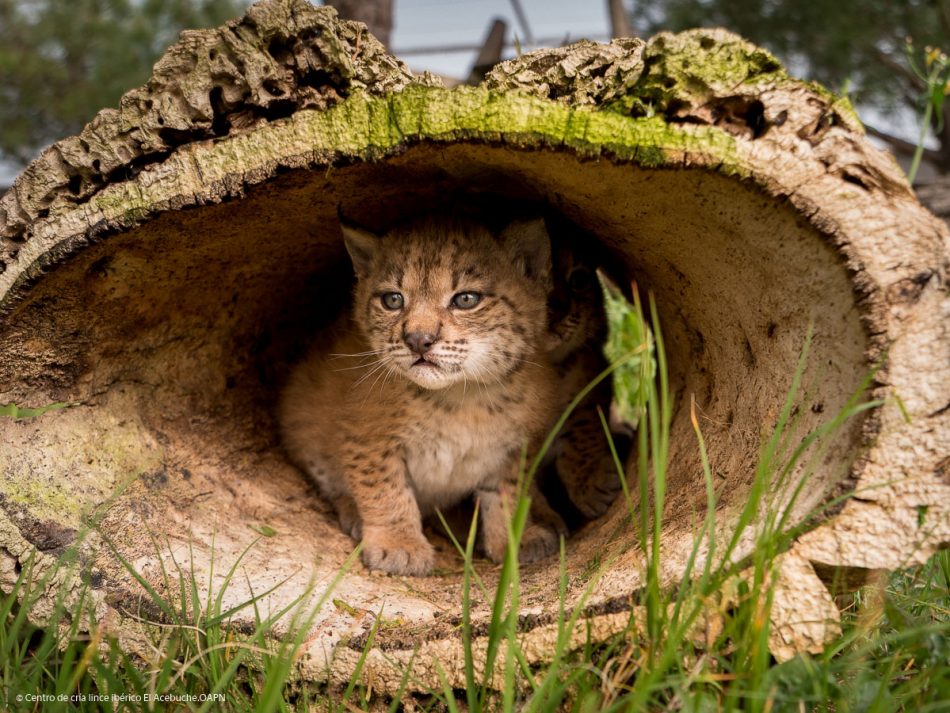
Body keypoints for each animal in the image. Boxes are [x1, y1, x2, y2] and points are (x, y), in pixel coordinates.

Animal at [280, 214, 564, 576]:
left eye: (466, 299)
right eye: (393, 300)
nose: (417, 339)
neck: (463, 395)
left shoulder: (517, 445)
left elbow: (509, 493)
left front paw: (515, 539)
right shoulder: (367, 436)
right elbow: (385, 489)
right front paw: (398, 546)